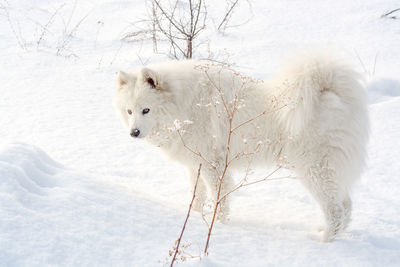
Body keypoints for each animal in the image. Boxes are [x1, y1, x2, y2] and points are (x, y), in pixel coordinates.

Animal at [112, 52, 368, 243]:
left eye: (146, 110)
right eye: (129, 111)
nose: (133, 133)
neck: (185, 104)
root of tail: (331, 90)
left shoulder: (213, 166)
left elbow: (219, 200)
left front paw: (218, 226)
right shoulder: (196, 165)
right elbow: (197, 197)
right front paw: (194, 217)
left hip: (313, 170)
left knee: (335, 211)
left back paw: (323, 241)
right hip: (330, 172)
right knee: (346, 206)